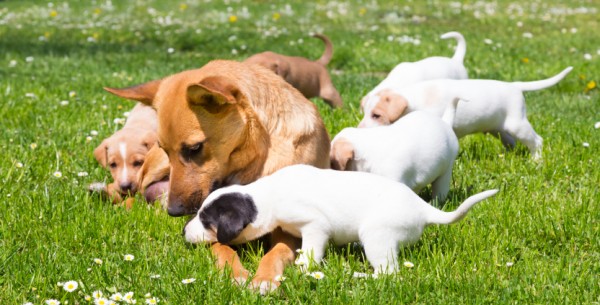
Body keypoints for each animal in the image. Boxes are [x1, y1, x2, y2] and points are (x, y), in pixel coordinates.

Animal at [103, 60, 328, 292]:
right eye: (165, 149)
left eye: (194, 148)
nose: (173, 212)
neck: (255, 156)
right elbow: (222, 248)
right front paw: (236, 273)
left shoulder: (288, 229)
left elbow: (278, 251)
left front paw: (265, 277)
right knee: (133, 192)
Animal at [183, 164, 496, 278]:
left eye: (206, 220)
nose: (184, 232)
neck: (265, 196)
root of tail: (422, 208)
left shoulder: (314, 226)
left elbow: (312, 251)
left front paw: (303, 267)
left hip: (377, 236)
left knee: (388, 272)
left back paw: (362, 275)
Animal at [356, 66, 572, 159]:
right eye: (365, 113)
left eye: (376, 115)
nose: (359, 129)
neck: (413, 100)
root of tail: (515, 86)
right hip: (499, 128)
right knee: (510, 142)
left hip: (517, 124)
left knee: (537, 141)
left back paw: (536, 161)